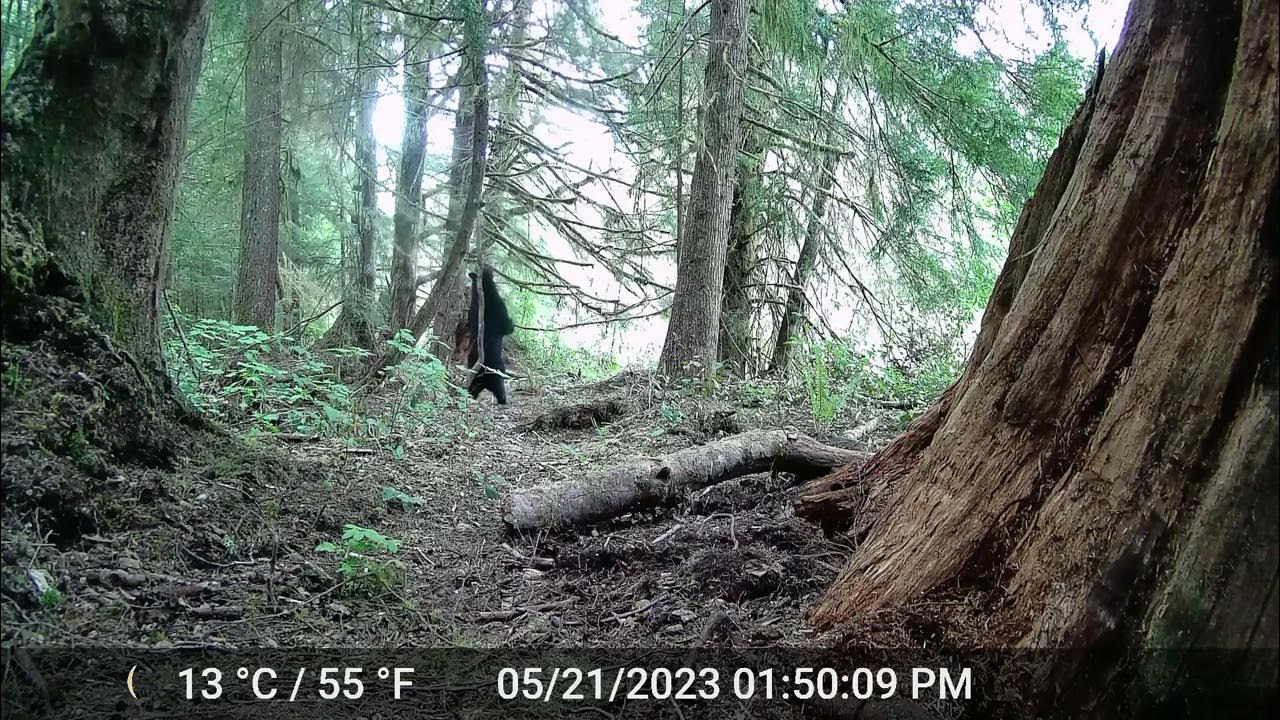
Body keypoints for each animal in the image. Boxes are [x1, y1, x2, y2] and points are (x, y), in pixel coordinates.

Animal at [464, 265, 515, 404]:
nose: (486, 265)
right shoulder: (498, 309)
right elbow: (507, 327)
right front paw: (512, 323)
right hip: (496, 372)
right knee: (500, 388)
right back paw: (503, 400)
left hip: (476, 378)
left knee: (472, 387)